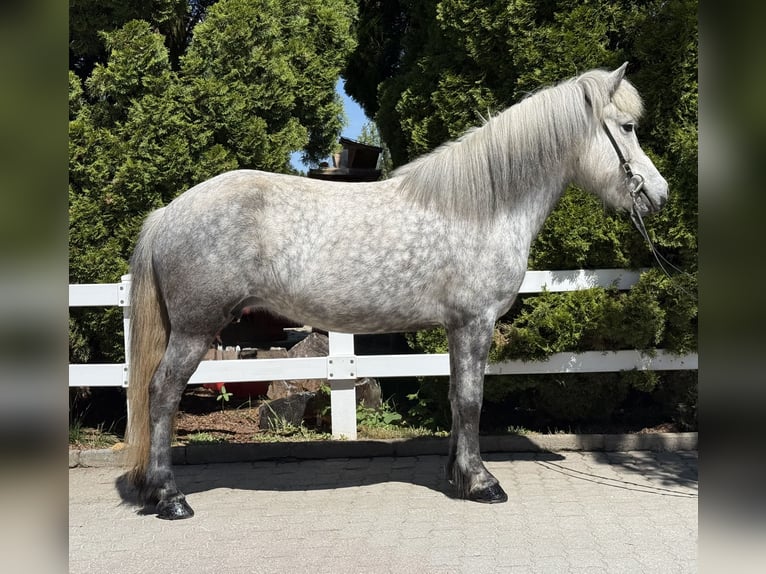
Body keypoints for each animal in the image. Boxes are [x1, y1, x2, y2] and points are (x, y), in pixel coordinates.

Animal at [125, 63, 668, 519]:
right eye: (626, 128)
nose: (659, 195)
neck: (482, 208)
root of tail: (167, 213)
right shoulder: (475, 323)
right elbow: (471, 399)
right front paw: (482, 483)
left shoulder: (456, 327)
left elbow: (455, 396)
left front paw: (457, 475)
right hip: (195, 331)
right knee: (162, 393)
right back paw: (170, 498)